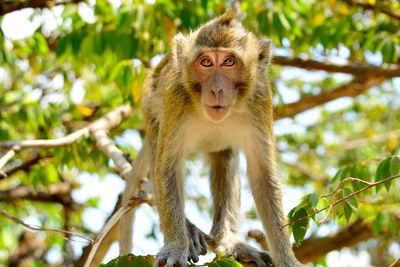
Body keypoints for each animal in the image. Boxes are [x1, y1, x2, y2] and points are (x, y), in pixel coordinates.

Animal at [119, 9, 304, 267]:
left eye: (229, 62)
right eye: (206, 62)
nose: (216, 90)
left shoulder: (260, 98)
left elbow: (263, 176)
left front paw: (287, 258)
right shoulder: (176, 97)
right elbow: (166, 167)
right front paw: (176, 245)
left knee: (224, 157)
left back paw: (226, 240)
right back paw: (188, 229)